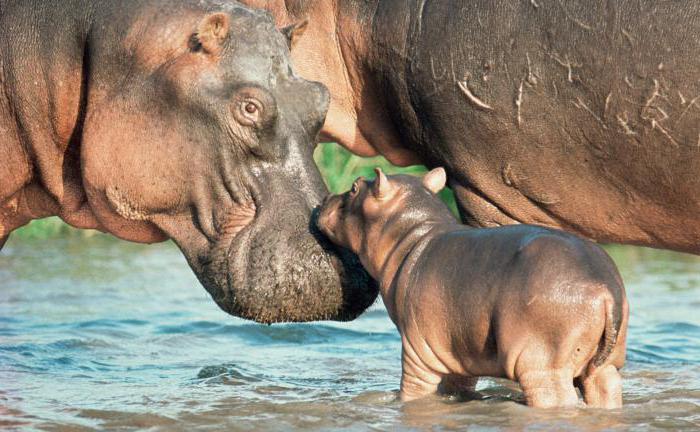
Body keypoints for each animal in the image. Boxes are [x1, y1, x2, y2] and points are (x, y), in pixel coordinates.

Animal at [318, 168, 628, 408]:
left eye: (354, 187)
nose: (323, 200)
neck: (413, 234)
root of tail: (605, 289)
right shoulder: (457, 353)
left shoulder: (417, 354)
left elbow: (413, 393)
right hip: (606, 364)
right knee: (606, 386)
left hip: (542, 364)